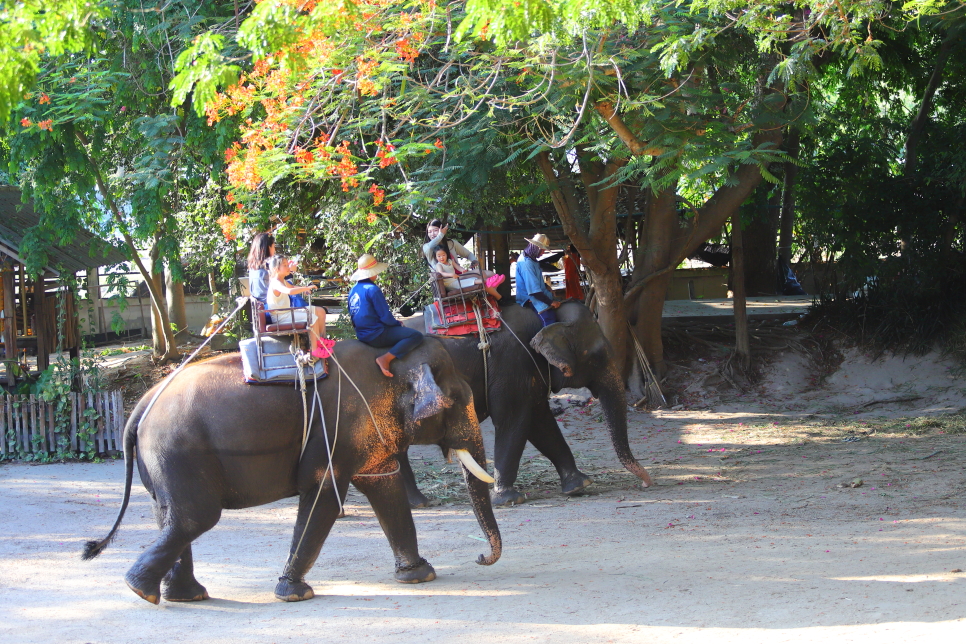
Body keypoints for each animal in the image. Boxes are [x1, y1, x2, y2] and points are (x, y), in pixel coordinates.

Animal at [82, 338, 500, 604]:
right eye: (457, 400)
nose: (480, 558)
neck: (388, 360)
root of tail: (141, 404)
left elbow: (385, 488)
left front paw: (420, 575)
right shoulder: (335, 430)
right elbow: (324, 495)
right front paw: (295, 594)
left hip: (165, 462)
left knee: (170, 516)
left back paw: (181, 595)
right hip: (179, 452)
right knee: (195, 518)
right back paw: (142, 591)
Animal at [400, 300, 652, 506]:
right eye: (597, 358)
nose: (646, 484)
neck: (543, 319)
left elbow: (542, 425)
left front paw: (579, 485)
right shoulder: (511, 366)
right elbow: (514, 422)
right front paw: (508, 499)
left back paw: (418, 503)